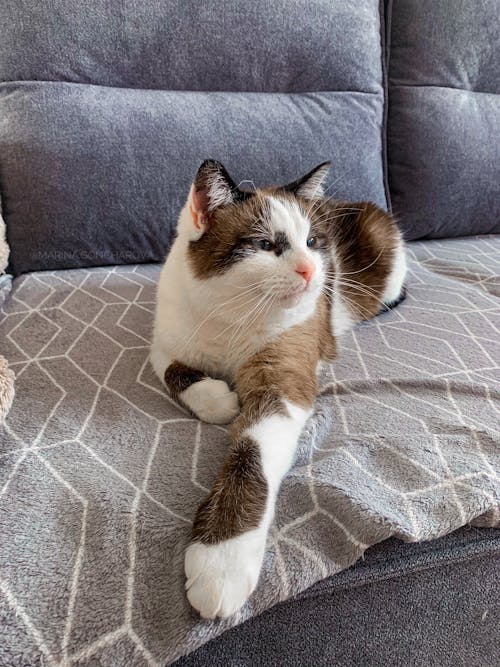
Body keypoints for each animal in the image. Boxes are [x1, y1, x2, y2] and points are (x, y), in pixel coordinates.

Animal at [151, 160, 406, 620]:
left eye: (312, 242)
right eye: (266, 245)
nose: (310, 270)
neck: (230, 317)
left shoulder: (282, 382)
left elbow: (251, 453)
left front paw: (223, 559)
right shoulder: (163, 342)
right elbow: (176, 372)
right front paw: (217, 398)